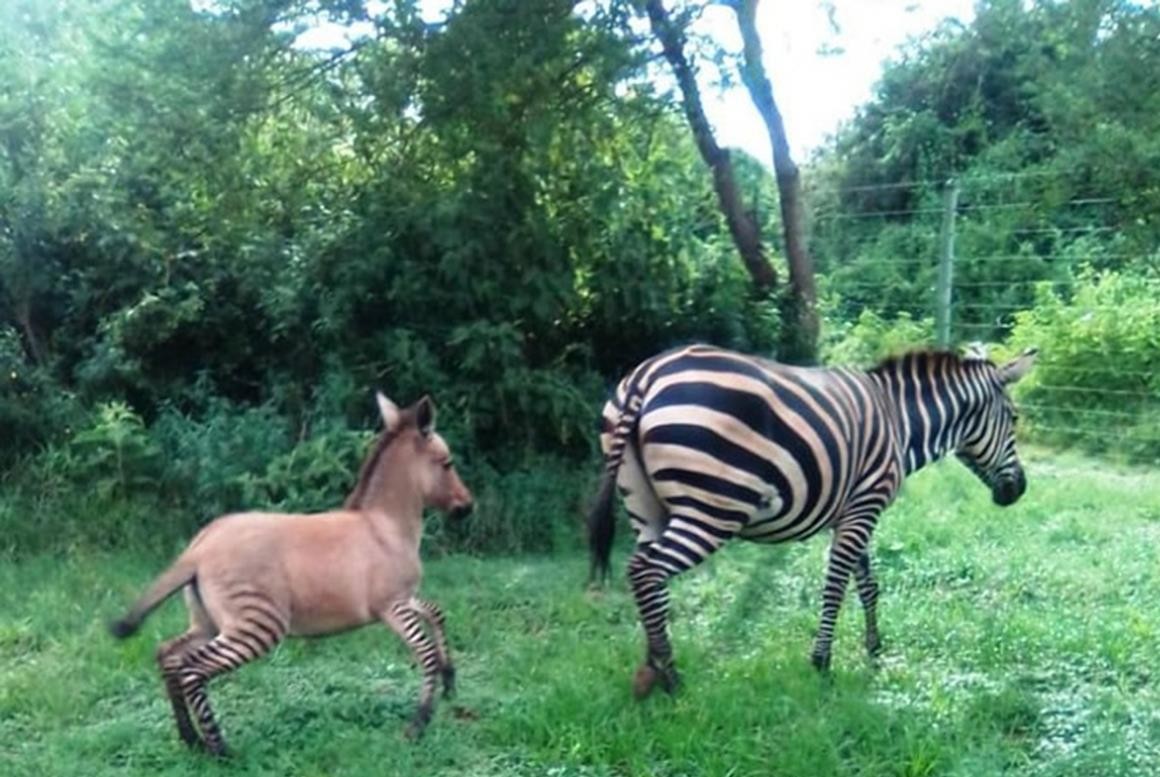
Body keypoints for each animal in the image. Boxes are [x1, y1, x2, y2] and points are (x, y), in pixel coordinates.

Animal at [593, 343, 1039, 695]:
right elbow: (836, 586)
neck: (900, 422)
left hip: (646, 507)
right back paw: (671, 677)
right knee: (646, 571)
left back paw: (651, 668)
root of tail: (647, 375)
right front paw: (822, 663)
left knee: (648, 580)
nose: (1018, 490)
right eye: (1015, 419)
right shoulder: (864, 506)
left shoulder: (853, 510)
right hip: (712, 509)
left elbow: (868, 584)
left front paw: (874, 649)